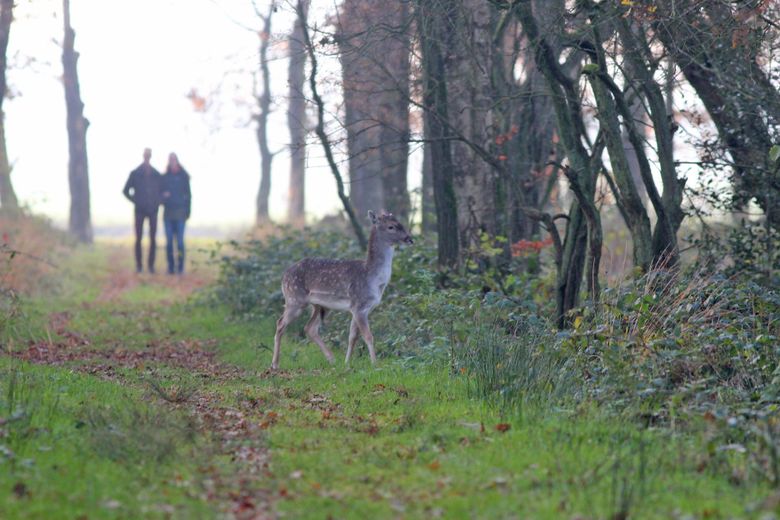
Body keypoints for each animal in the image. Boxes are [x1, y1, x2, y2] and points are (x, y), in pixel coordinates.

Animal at [271, 210, 413, 370]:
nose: (409, 239)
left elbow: (352, 336)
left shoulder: (359, 308)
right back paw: (275, 364)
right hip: (294, 299)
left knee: (309, 328)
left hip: (320, 305)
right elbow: (368, 336)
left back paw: (331, 359)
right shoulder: (359, 305)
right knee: (280, 323)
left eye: (400, 223)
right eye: (391, 226)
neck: (373, 279)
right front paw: (375, 364)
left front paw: (347, 363)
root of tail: (284, 276)